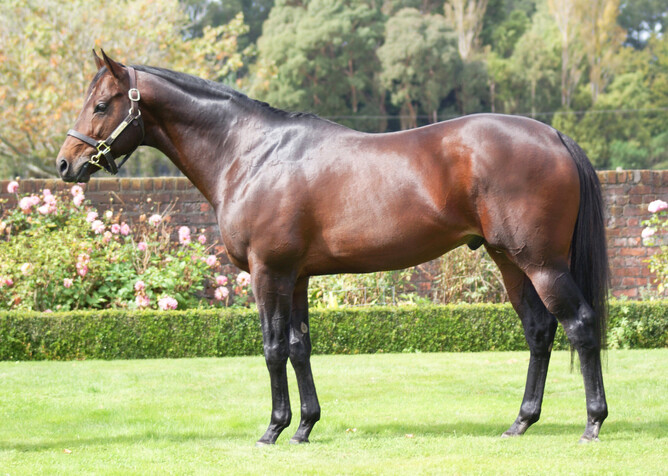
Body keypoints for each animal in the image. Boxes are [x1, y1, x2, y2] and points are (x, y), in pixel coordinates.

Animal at [57, 51, 609, 445]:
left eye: (102, 104)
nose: (66, 163)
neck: (251, 153)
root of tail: (555, 136)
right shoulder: (296, 276)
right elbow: (300, 347)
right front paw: (304, 426)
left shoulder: (268, 273)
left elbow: (273, 348)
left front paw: (273, 429)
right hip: (508, 260)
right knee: (539, 331)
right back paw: (521, 422)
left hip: (541, 262)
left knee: (580, 325)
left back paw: (592, 423)